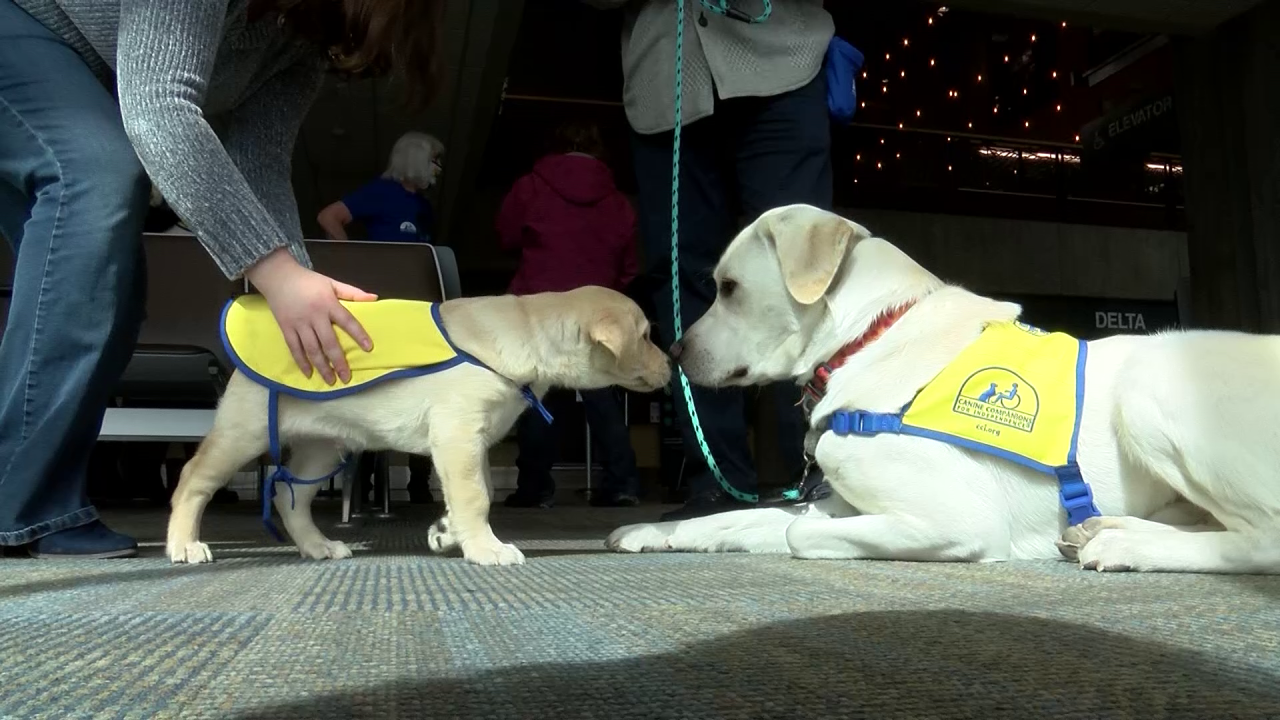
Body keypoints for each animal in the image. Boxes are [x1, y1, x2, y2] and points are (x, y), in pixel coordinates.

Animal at [606, 204, 1280, 573]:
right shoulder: (840, 504)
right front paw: (653, 533)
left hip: (1147, 389)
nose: (674, 352)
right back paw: (1107, 529)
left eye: (729, 289)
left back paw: (1124, 544)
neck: (869, 337)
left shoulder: (955, 518)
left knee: (1263, 539)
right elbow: (738, 520)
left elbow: (796, 533)